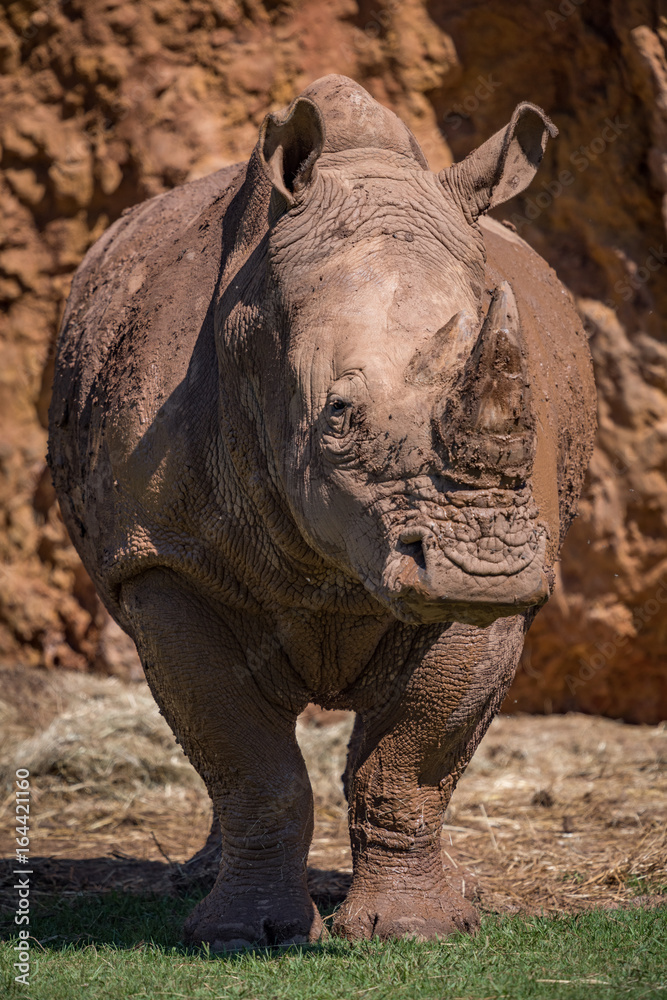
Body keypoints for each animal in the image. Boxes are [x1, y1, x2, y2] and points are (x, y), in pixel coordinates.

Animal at [48, 75, 595, 947]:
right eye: (337, 415)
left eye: (530, 414)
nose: (479, 567)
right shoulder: (162, 555)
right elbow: (242, 751)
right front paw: (241, 936)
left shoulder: (515, 556)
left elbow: (412, 756)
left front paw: (418, 930)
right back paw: (197, 885)